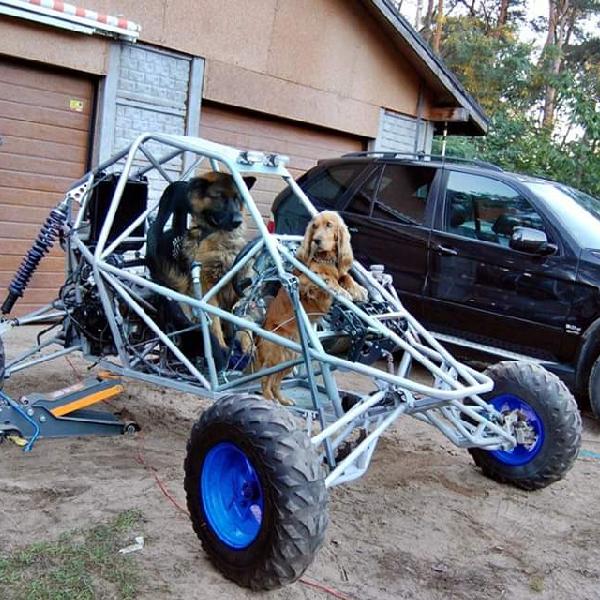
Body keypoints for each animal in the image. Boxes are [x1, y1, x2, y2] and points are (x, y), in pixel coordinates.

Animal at [148, 171, 256, 352]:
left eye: (237, 198)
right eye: (220, 197)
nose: (238, 220)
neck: (219, 237)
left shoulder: (238, 285)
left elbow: (243, 316)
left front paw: (247, 342)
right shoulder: (207, 285)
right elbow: (214, 317)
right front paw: (221, 345)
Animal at [255, 211, 367, 405]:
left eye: (329, 225)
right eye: (314, 226)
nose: (316, 240)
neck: (326, 258)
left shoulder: (340, 272)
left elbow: (346, 277)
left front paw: (358, 290)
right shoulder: (305, 281)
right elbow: (325, 277)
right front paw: (341, 290)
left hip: (291, 358)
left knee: (276, 381)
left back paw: (284, 400)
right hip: (277, 353)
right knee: (265, 379)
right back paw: (269, 399)